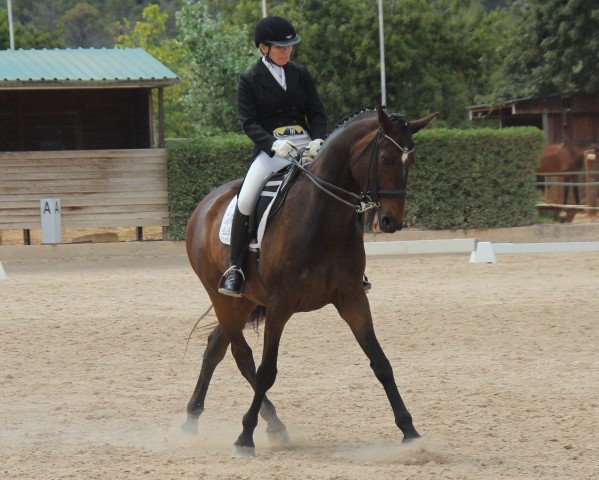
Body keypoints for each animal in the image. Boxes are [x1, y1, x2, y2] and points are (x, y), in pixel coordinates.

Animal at [183, 107, 436, 456]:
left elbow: (381, 363)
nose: (391, 222)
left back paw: (201, 419)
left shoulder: (352, 299)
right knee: (241, 355)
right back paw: (261, 425)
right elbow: (266, 371)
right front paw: (244, 436)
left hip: (245, 302)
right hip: (224, 297)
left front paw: (409, 431)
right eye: (385, 158)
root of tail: (206, 203)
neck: (322, 217)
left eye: (410, 163)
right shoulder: (279, 306)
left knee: (215, 348)